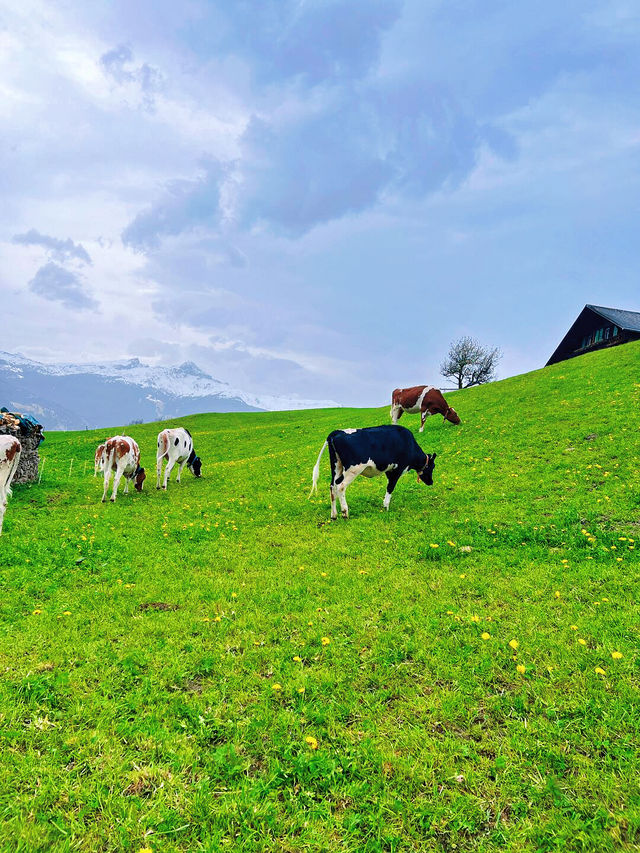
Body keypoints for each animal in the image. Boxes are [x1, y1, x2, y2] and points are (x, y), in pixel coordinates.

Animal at [308, 422, 438, 516]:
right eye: (433, 466)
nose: (431, 482)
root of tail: (336, 432)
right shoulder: (397, 470)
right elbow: (390, 488)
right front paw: (386, 507)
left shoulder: (389, 470)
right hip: (353, 469)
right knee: (340, 485)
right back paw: (345, 512)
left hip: (336, 466)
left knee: (332, 486)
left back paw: (334, 515)